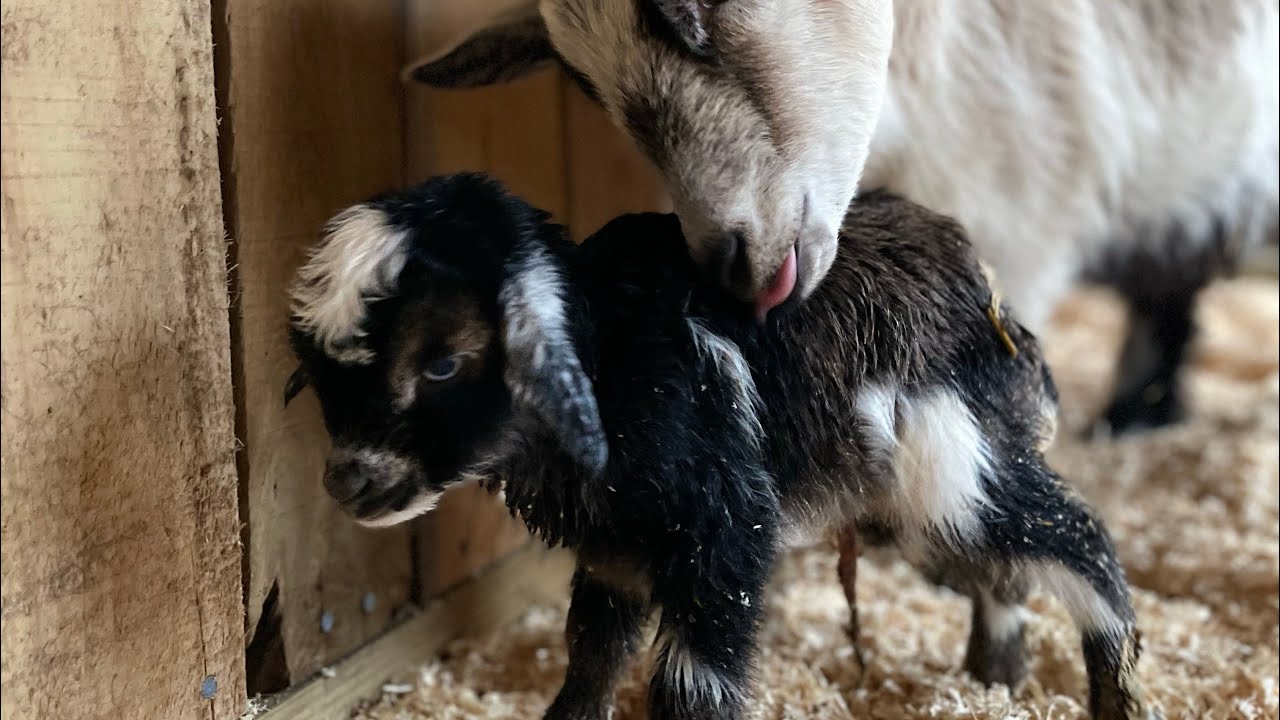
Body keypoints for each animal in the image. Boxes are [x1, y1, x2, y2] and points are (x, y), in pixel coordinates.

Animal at [285, 173, 1151, 720]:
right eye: (319, 371)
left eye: (439, 362)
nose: (346, 481)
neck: (612, 362)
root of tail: (991, 297)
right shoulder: (617, 549)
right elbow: (591, 653)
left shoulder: (724, 531)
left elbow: (691, 683)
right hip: (915, 499)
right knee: (1005, 573)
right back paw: (992, 682)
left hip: (958, 465)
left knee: (1081, 539)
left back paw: (1113, 695)